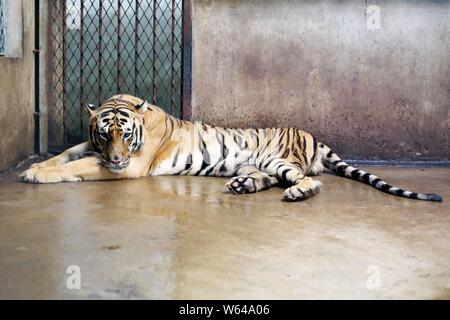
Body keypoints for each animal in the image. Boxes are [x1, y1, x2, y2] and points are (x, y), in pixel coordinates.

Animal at [20, 93, 442, 202]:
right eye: (104, 135)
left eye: (126, 136)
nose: (118, 158)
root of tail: (313, 136)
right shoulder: (91, 147)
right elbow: (66, 155)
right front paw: (37, 166)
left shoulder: (133, 166)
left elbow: (75, 166)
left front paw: (36, 175)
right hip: (253, 164)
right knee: (267, 180)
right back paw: (243, 186)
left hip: (280, 159)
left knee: (309, 181)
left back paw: (297, 193)